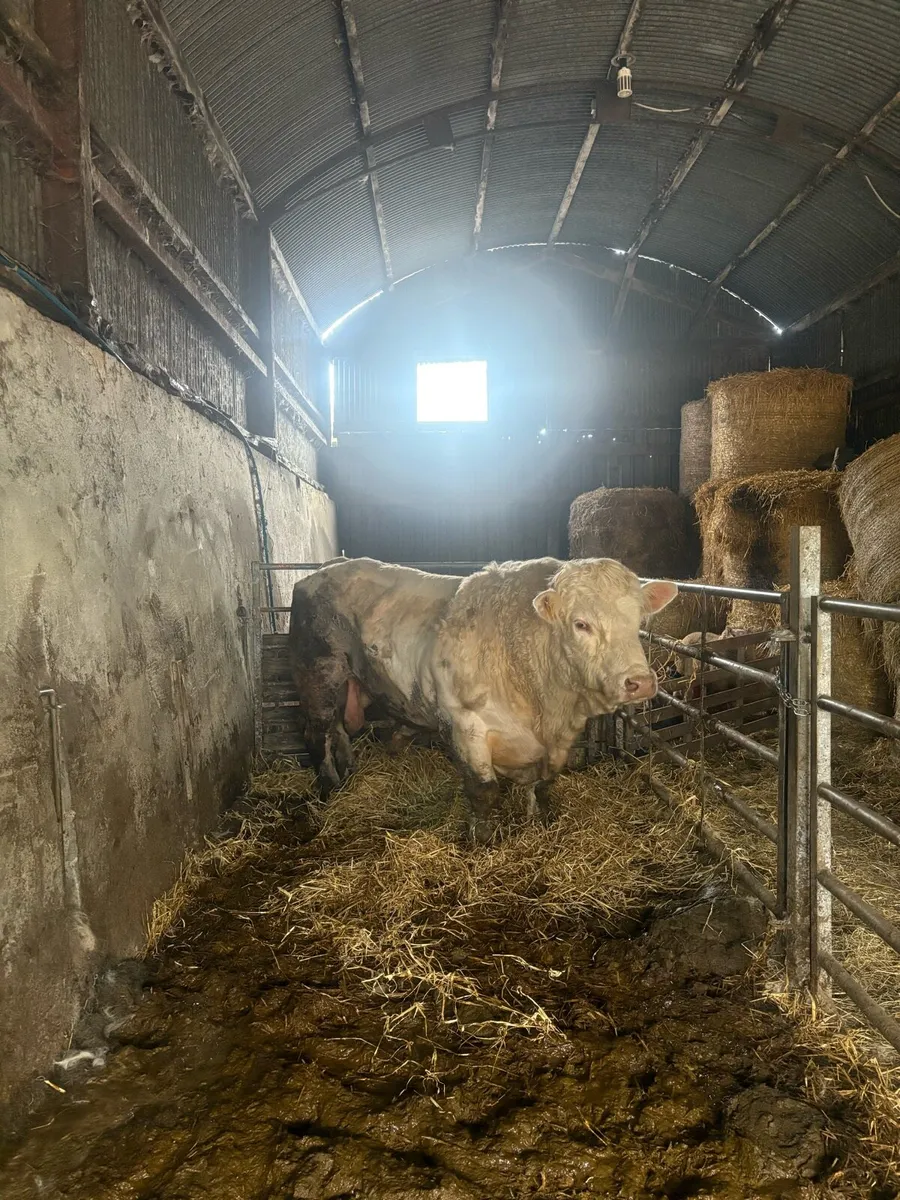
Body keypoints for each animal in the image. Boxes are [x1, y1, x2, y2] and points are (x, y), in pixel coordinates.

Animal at [288, 556, 677, 842]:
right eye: (581, 624)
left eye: (639, 621)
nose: (640, 682)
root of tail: (322, 571)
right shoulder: (466, 726)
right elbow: (484, 791)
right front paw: (482, 841)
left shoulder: (558, 741)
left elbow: (544, 785)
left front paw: (539, 822)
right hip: (318, 677)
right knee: (317, 735)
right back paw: (329, 789)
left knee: (339, 732)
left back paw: (348, 775)